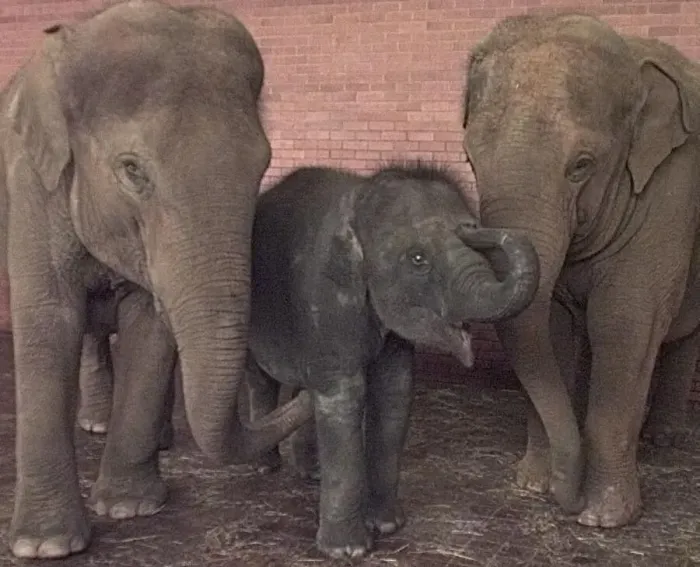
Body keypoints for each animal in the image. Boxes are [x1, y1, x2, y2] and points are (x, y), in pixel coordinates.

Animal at [0, 1, 312, 559]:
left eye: (263, 166)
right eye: (132, 170)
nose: (310, 396)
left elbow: (149, 326)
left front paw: (132, 508)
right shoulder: (31, 182)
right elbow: (48, 321)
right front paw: (46, 546)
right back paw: (96, 424)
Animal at [77, 161, 541, 559]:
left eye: (474, 237)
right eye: (418, 259)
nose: (481, 230)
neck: (360, 198)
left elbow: (395, 394)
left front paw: (388, 526)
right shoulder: (325, 297)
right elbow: (345, 395)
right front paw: (348, 550)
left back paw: (309, 471)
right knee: (261, 378)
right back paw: (266, 467)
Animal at [461, 12, 700, 528]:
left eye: (582, 165)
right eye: (470, 159)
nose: (564, 498)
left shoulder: (671, 193)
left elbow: (624, 324)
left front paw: (603, 517)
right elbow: (553, 325)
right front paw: (533, 485)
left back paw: (663, 442)